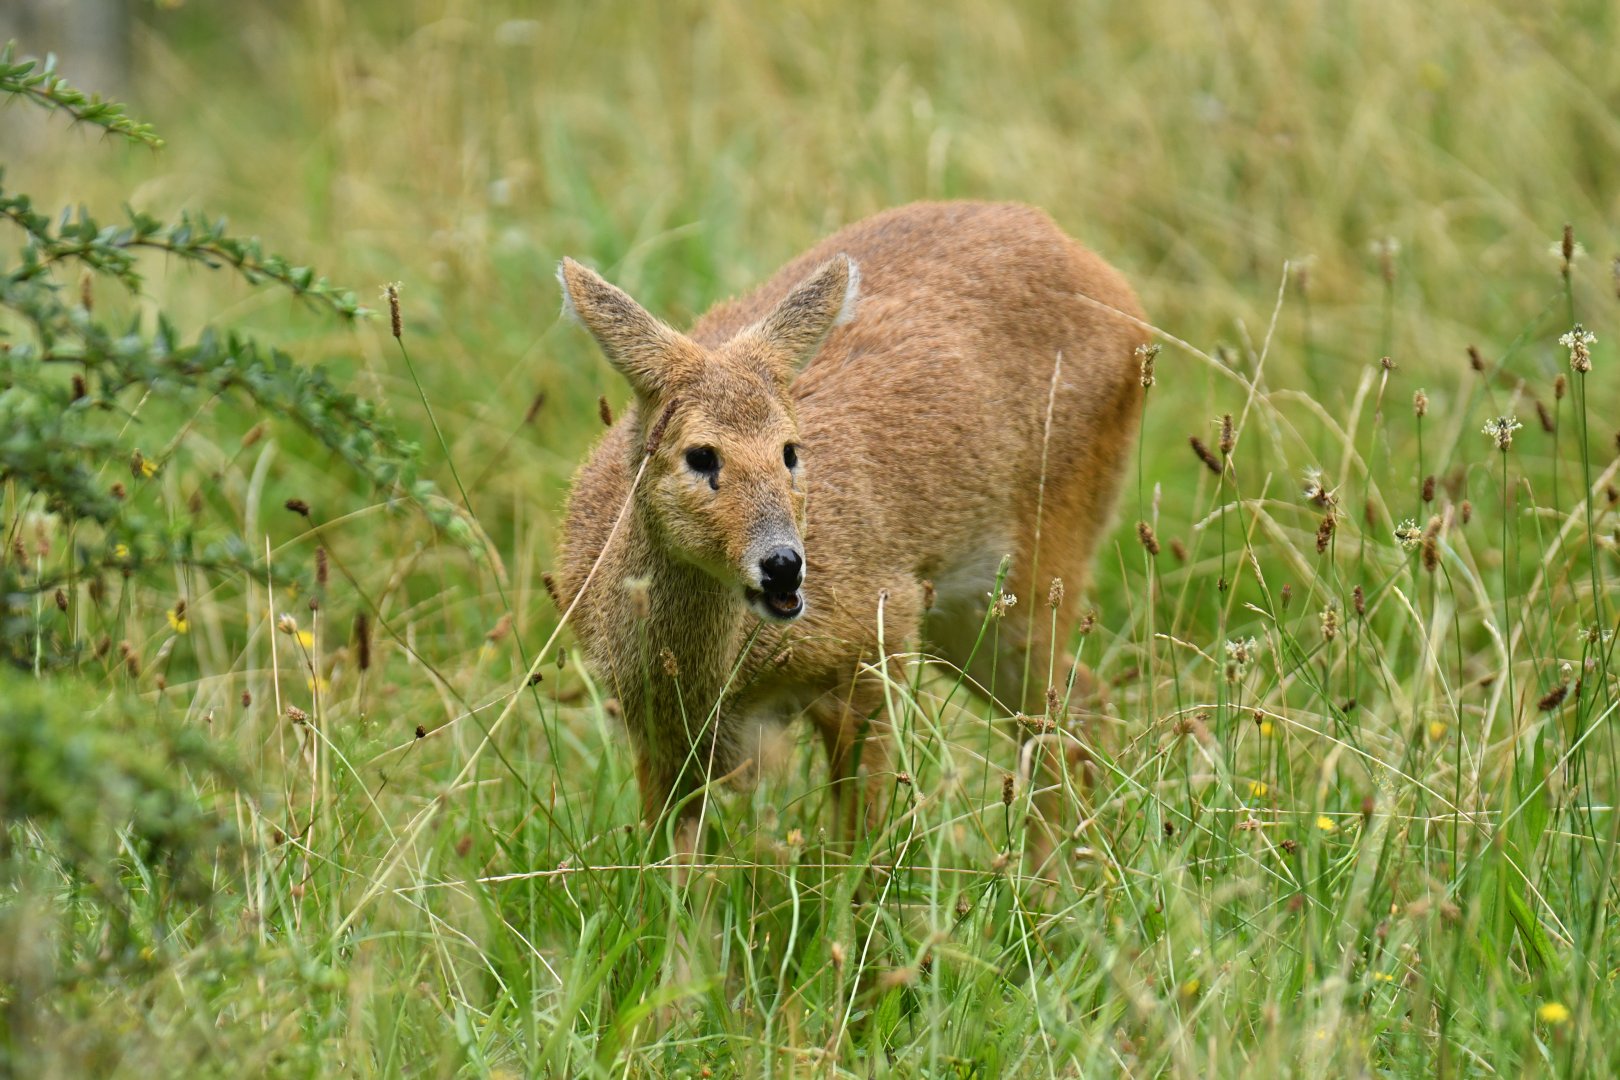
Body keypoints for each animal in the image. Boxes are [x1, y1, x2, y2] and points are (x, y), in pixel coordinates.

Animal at [550, 201, 1148, 869]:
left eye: (791, 449)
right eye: (700, 454)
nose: (784, 564)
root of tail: (1115, 287)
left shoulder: (872, 646)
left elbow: (860, 852)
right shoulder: (654, 731)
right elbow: (669, 869)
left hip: (1042, 562)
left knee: (1059, 715)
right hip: (967, 619)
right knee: (1081, 702)